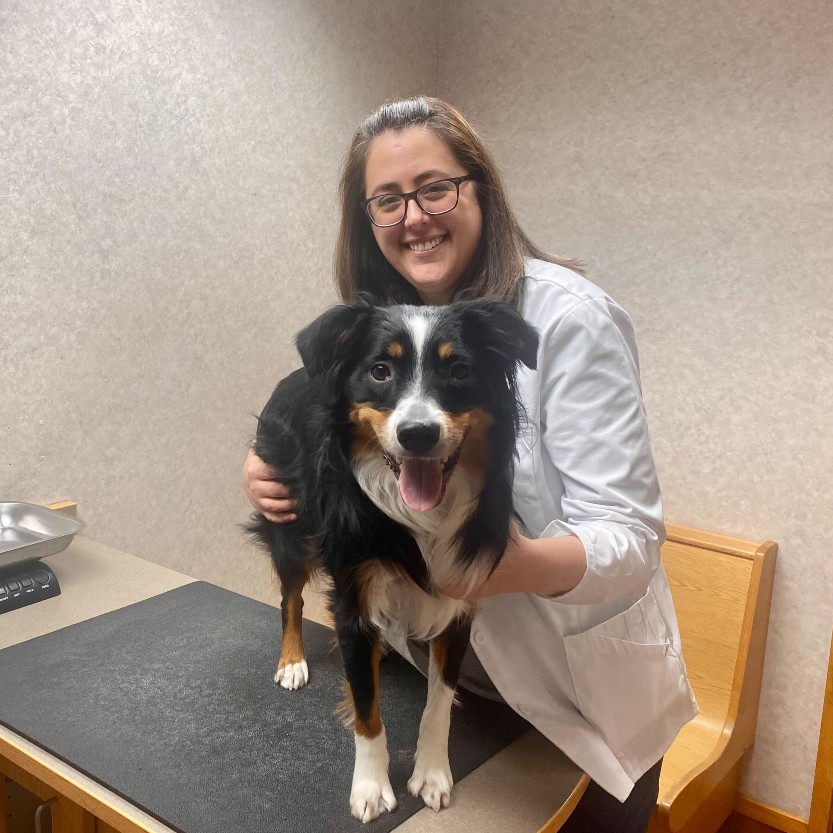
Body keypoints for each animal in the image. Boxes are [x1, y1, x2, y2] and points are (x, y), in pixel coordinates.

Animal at [247, 296, 536, 824]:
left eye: (460, 370)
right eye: (380, 371)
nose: (418, 434)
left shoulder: (458, 601)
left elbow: (440, 700)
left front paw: (432, 773)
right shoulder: (352, 595)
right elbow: (367, 710)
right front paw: (370, 787)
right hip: (290, 527)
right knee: (291, 599)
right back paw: (292, 660)